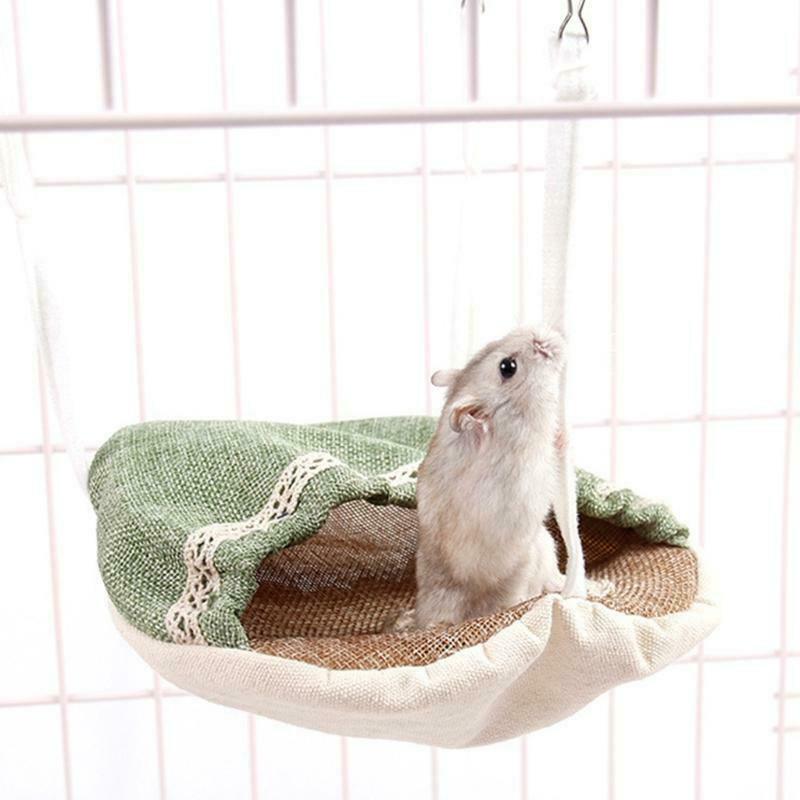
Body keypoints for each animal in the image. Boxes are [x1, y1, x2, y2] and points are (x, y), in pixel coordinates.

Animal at [412, 325, 568, 629]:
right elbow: (552, 455)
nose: (545, 334)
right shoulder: (532, 463)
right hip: (539, 551)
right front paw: (563, 437)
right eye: (507, 367)